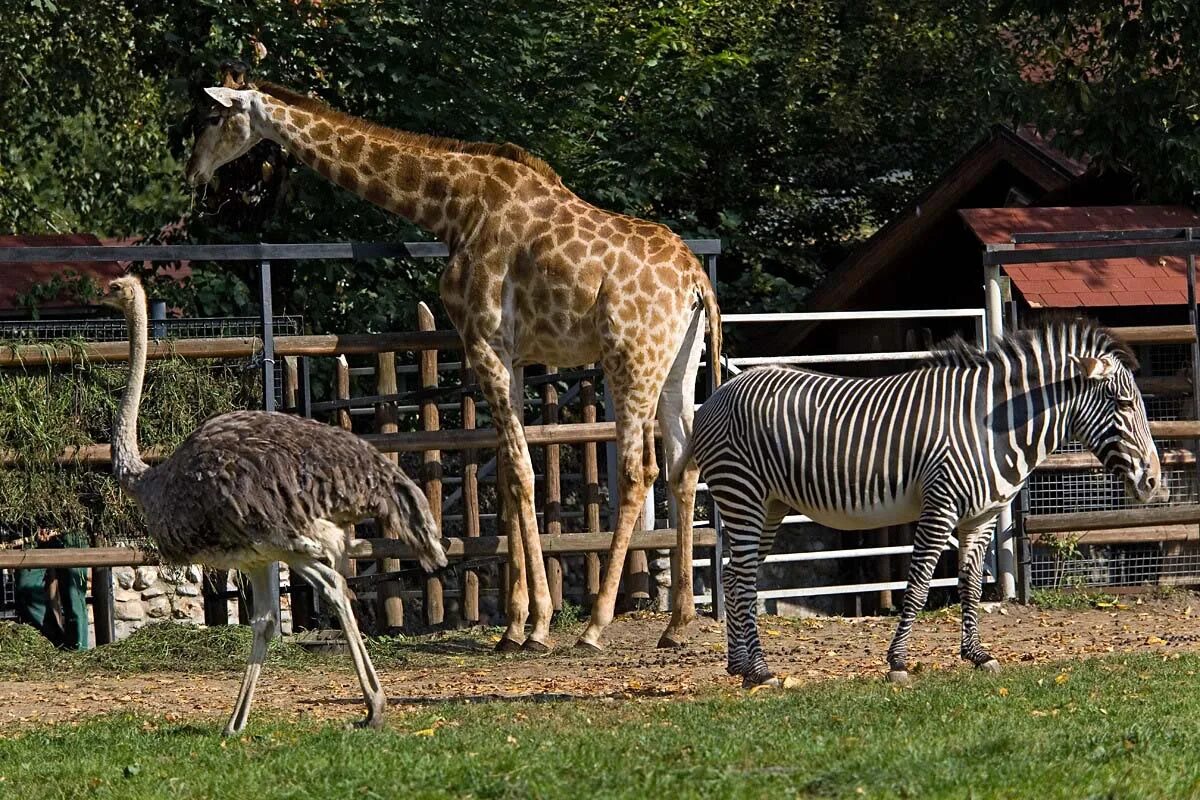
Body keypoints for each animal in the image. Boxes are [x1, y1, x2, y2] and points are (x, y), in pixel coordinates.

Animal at [187, 77, 720, 652]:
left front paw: (536, 626)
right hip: (679, 363)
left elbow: (520, 472)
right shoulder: (509, 353)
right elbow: (508, 476)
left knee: (639, 470)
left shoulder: (483, 340)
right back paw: (677, 623)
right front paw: (516, 624)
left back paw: (597, 625)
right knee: (684, 465)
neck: (453, 208)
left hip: (631, 358)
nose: (194, 174)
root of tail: (696, 279)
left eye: (212, 118)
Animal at [686, 319, 1161, 690]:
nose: (1154, 482)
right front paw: (897, 662)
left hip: (770, 504)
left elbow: (970, 585)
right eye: (1124, 404)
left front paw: (978, 655)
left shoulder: (981, 518)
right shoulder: (941, 505)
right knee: (744, 578)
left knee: (734, 576)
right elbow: (916, 584)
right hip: (742, 492)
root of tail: (719, 392)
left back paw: (740, 666)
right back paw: (760, 671)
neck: (995, 427)